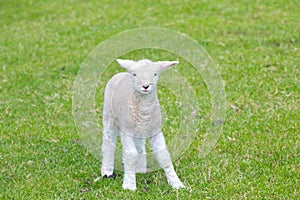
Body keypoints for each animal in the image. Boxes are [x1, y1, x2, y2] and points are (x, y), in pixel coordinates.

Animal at [101, 58, 185, 191]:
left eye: (155, 74)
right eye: (135, 74)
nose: (145, 86)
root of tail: (121, 73)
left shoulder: (155, 130)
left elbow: (164, 155)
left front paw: (176, 183)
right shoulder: (127, 131)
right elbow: (131, 154)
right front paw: (129, 185)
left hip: (139, 130)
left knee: (140, 146)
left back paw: (140, 169)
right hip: (109, 116)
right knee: (108, 143)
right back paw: (107, 171)